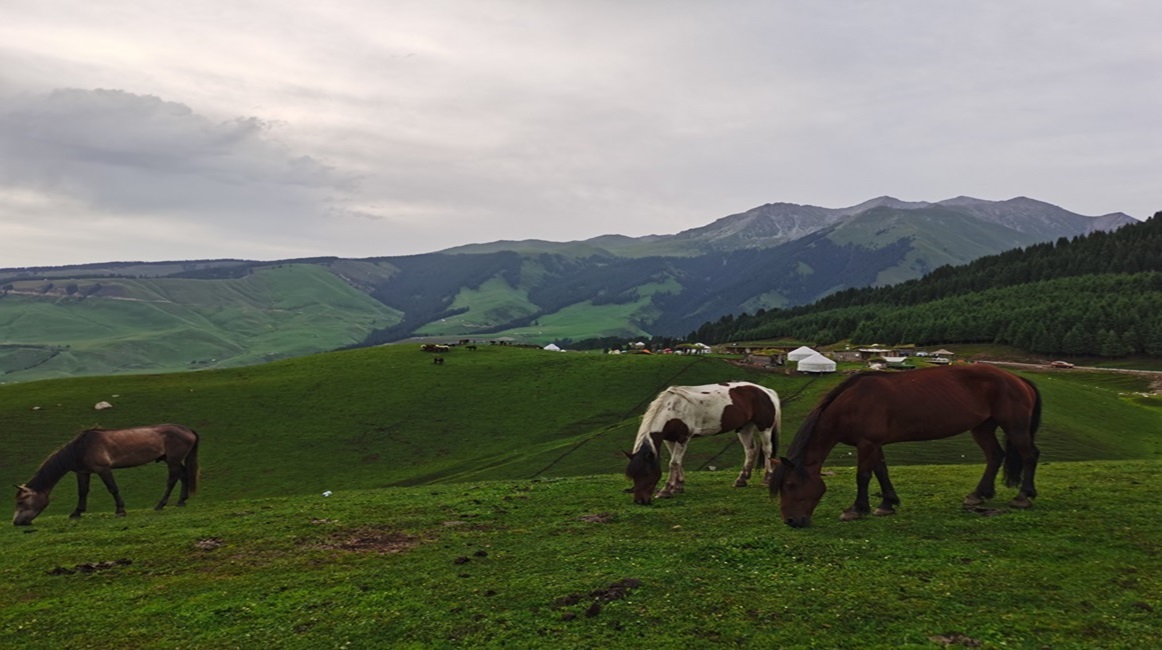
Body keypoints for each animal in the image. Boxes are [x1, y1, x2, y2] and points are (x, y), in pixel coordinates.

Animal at [13, 425, 199, 525]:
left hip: (173, 460)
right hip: (172, 460)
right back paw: (181, 501)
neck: (81, 448)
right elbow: (82, 492)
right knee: (184, 475)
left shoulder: (103, 469)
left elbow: (113, 489)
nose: (16, 522)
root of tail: (187, 429)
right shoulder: (83, 472)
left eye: (21, 501)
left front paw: (120, 511)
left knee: (172, 479)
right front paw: (77, 512)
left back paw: (161, 504)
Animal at [627, 381, 780, 509]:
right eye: (633, 474)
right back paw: (741, 480)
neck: (672, 409)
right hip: (744, 427)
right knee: (750, 450)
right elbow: (677, 462)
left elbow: (673, 463)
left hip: (764, 427)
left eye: (646, 473)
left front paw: (666, 490)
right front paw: (679, 485)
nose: (640, 501)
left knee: (767, 450)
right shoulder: (669, 439)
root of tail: (766, 391)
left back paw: (767, 478)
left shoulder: (683, 438)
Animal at [771, 367, 1045, 530]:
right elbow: (881, 471)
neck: (852, 404)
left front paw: (857, 509)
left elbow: (863, 475)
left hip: (1015, 426)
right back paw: (978, 494)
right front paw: (887, 504)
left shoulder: (867, 443)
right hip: (983, 427)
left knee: (1029, 455)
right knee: (995, 455)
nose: (791, 521)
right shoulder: (873, 443)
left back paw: (1023, 497)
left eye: (790, 485)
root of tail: (1018, 379)